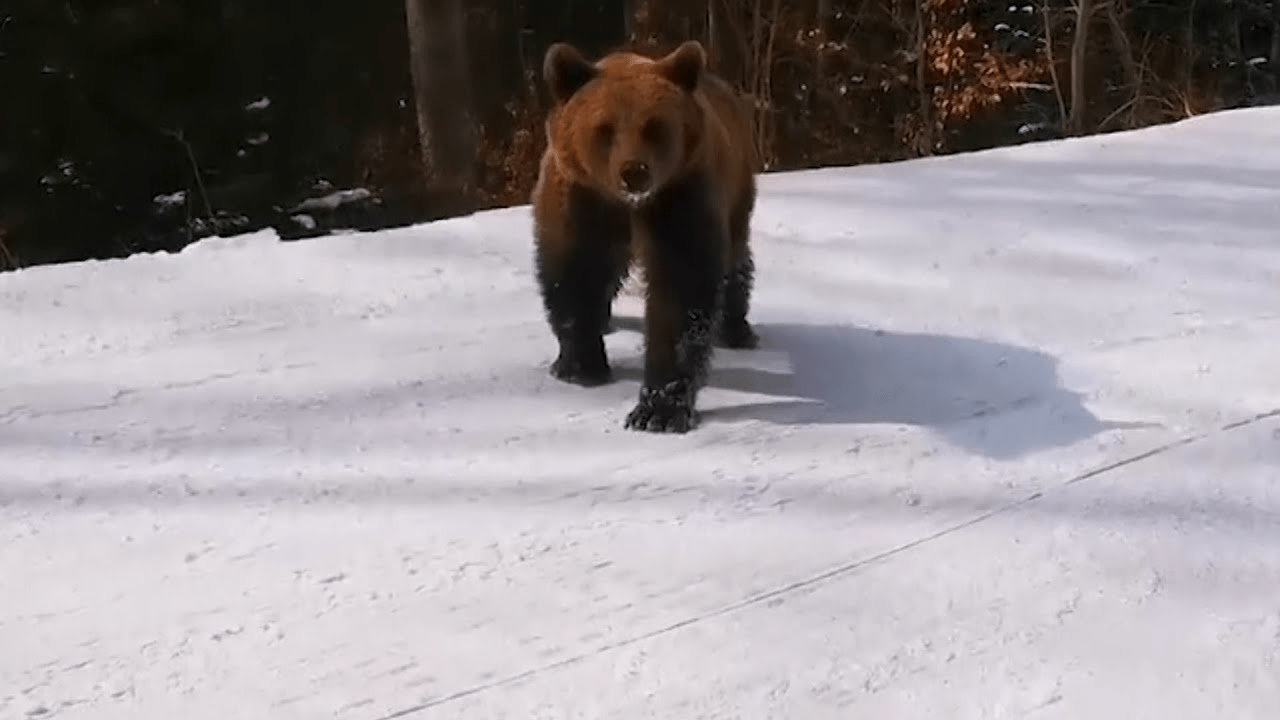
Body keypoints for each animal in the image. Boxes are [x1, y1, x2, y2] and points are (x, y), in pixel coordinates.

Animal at [529, 39, 757, 430]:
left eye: (655, 127)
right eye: (604, 128)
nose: (634, 171)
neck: (627, 204)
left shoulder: (679, 195)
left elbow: (680, 287)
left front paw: (659, 408)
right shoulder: (581, 198)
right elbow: (575, 273)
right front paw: (580, 365)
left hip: (737, 187)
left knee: (735, 261)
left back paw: (738, 329)